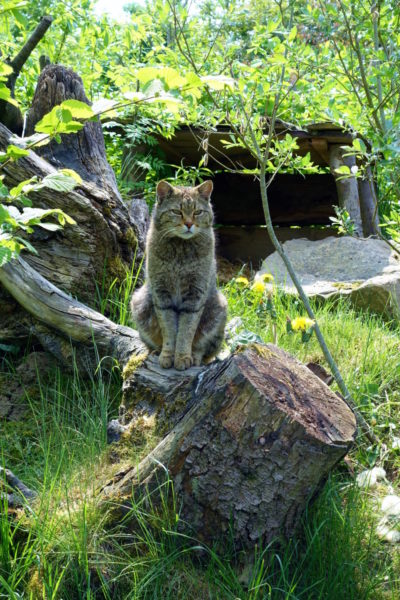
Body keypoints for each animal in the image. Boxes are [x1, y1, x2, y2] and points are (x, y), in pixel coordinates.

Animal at [130, 177, 227, 370]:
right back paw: (156, 351)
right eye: (176, 211)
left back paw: (194, 357)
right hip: (139, 303)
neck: (181, 249)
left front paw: (182, 357)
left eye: (197, 212)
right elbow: (168, 330)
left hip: (218, 307)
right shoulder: (161, 295)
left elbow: (186, 331)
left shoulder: (195, 296)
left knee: (203, 349)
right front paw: (167, 355)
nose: (189, 224)